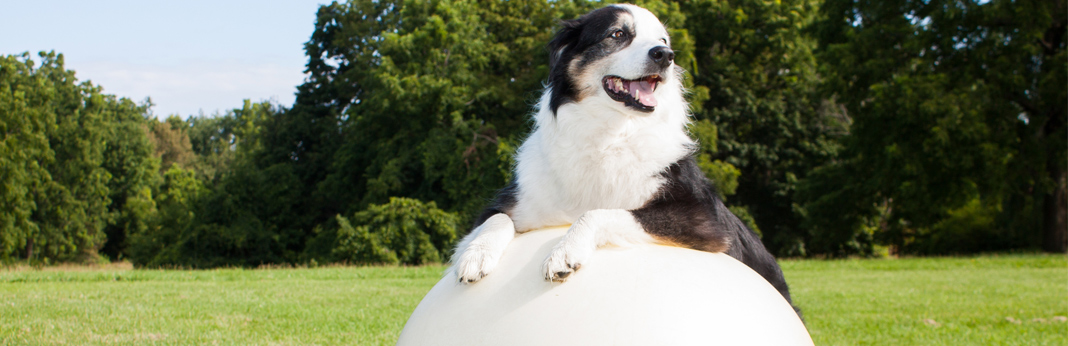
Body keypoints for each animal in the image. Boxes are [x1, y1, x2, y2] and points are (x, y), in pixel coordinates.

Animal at [446, 3, 798, 316]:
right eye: (618, 34)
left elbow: (600, 212)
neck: (610, 134)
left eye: (663, 40)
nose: (665, 55)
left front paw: (566, 251)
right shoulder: (513, 201)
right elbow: (496, 219)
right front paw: (475, 255)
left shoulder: (704, 221)